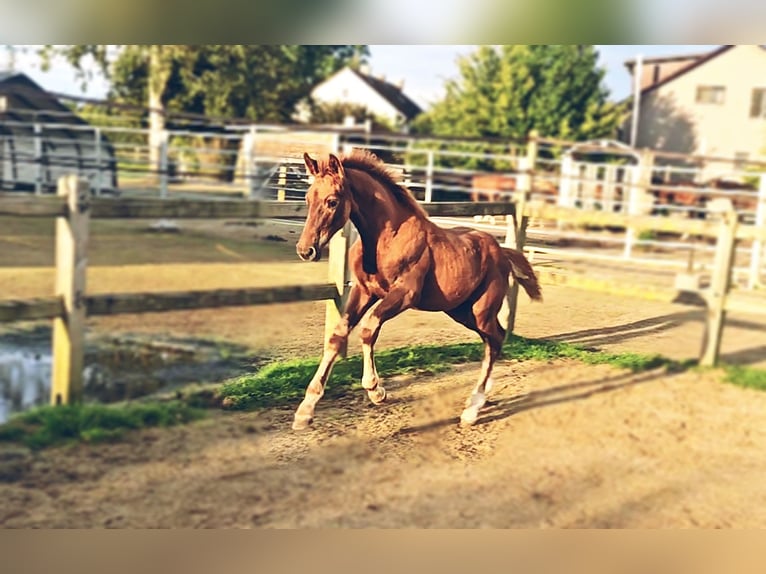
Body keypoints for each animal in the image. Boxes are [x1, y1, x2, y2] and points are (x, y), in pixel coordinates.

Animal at [292, 149, 542, 431]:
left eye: (332, 201)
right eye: (308, 197)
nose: (305, 250)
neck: (386, 239)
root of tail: (503, 251)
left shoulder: (405, 294)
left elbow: (368, 329)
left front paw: (376, 390)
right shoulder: (365, 291)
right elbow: (338, 336)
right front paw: (305, 410)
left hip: (481, 311)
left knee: (495, 340)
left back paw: (472, 409)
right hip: (461, 311)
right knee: (494, 338)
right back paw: (482, 395)